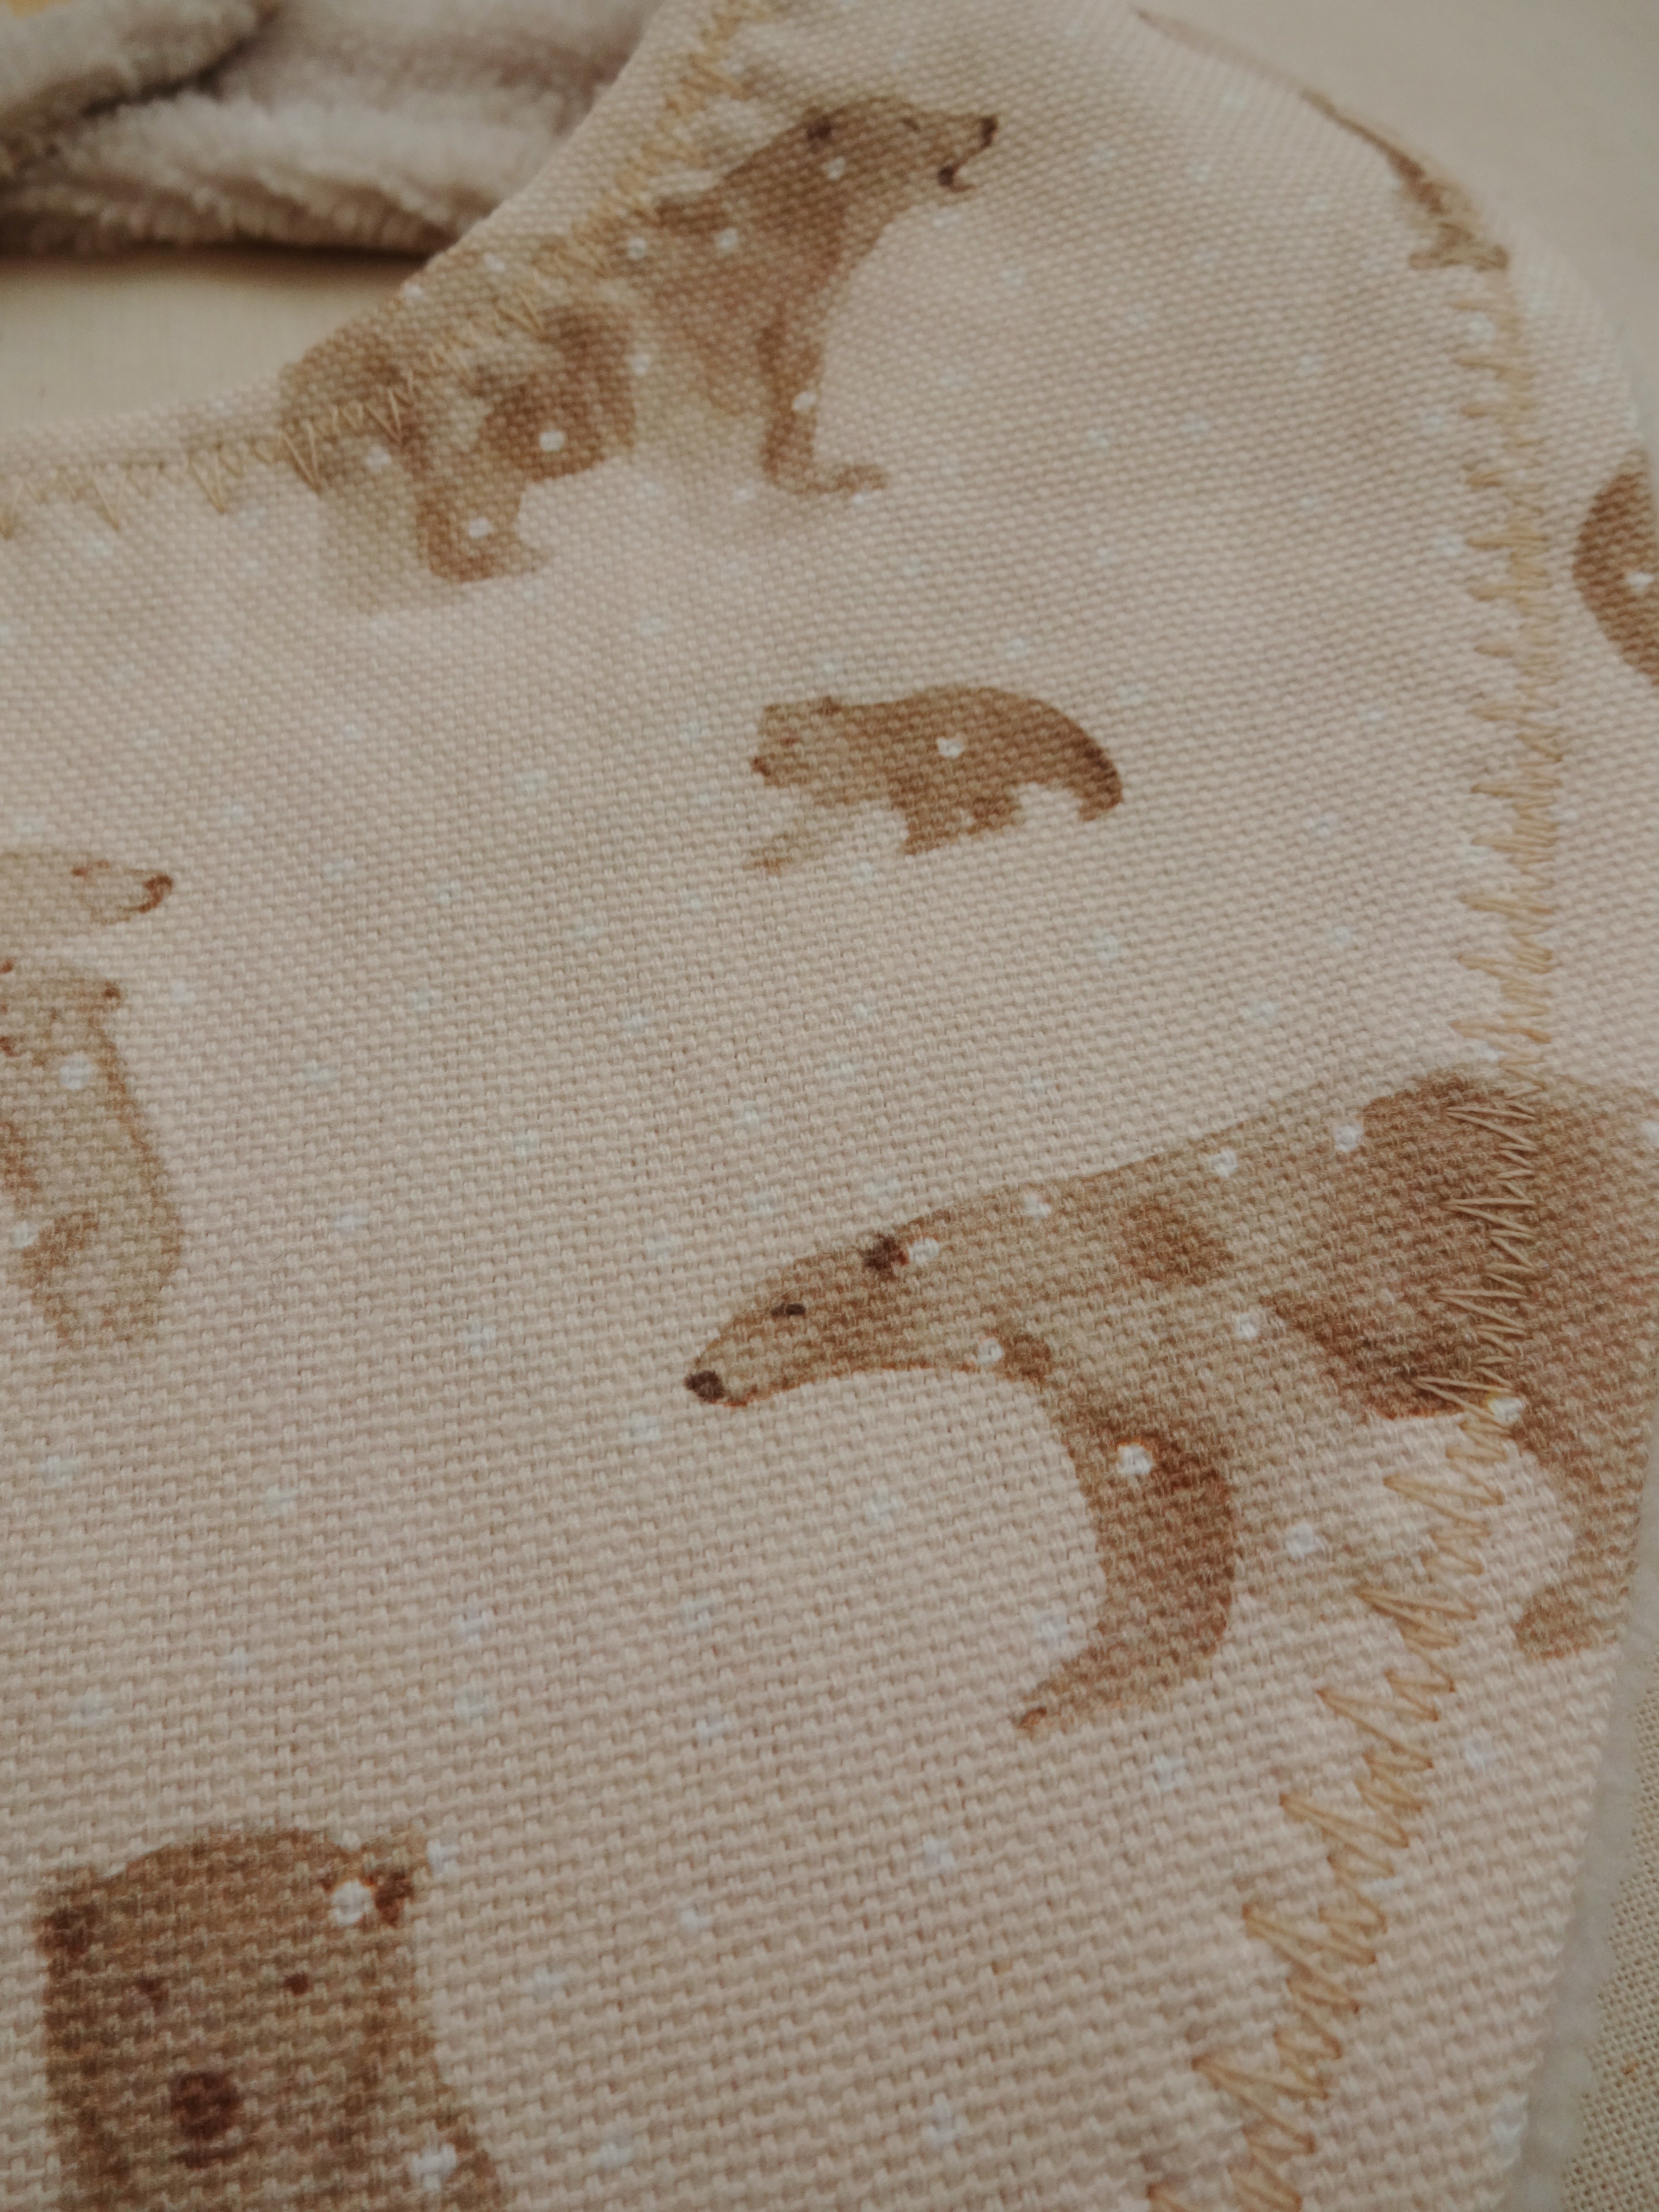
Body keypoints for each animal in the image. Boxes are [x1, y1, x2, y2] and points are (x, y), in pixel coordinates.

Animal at [686, 1069, 1659, 1734]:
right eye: (741, 1306)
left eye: (789, 1307)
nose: (701, 1377)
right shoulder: (1097, 1387)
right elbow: (1158, 1519)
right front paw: (1070, 1691)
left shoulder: (1193, 1305)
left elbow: (1280, 1427)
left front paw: (1390, 1571)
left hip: (1545, 1238)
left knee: (1592, 1407)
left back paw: (1564, 1609)